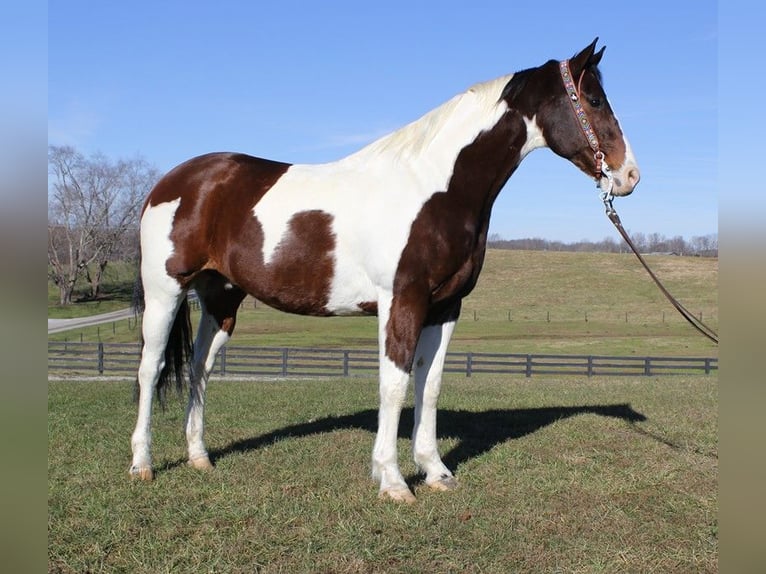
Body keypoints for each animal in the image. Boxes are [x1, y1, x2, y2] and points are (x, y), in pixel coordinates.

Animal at [130, 39, 639, 503]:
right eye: (594, 99)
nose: (629, 175)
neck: (435, 188)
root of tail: (171, 182)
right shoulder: (402, 300)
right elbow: (394, 385)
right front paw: (393, 481)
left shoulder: (445, 307)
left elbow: (429, 385)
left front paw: (435, 472)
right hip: (165, 291)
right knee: (150, 369)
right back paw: (142, 465)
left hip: (222, 298)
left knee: (199, 368)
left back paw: (200, 457)